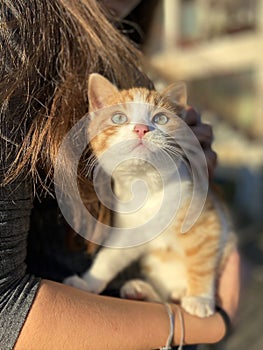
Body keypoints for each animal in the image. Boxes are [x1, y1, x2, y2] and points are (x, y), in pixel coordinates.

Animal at [64, 73, 237, 318]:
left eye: (161, 118)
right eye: (118, 117)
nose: (141, 129)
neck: (146, 187)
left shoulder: (208, 219)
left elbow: (203, 259)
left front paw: (200, 298)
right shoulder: (132, 230)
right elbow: (110, 256)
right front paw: (89, 282)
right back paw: (141, 290)